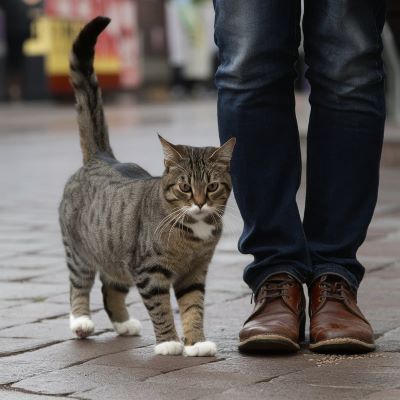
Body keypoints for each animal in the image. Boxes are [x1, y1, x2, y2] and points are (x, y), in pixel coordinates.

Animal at [58, 17, 234, 358]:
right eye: (184, 187)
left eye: (212, 186)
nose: (200, 202)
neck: (193, 232)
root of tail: (101, 157)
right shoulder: (150, 270)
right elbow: (161, 307)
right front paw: (168, 342)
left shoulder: (195, 271)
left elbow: (193, 307)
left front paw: (196, 342)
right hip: (81, 250)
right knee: (79, 284)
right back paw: (81, 321)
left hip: (117, 252)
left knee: (109, 288)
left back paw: (123, 323)